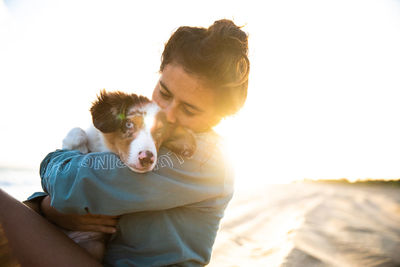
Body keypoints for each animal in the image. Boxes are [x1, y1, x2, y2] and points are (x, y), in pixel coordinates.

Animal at [60, 90, 196, 262]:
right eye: (129, 124)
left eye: (160, 132)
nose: (147, 158)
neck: (107, 149)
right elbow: (77, 131)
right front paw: (77, 144)